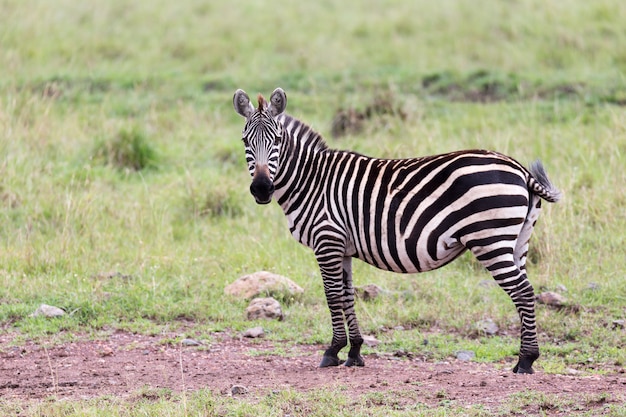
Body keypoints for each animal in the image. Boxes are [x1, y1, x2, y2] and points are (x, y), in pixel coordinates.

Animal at [232, 88, 560, 374]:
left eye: (277, 140)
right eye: (245, 141)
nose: (261, 189)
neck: (311, 180)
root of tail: (519, 168)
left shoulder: (327, 240)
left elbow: (332, 296)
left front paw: (333, 351)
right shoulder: (343, 247)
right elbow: (348, 295)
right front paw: (354, 352)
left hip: (490, 239)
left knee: (522, 292)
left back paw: (526, 361)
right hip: (517, 241)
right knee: (526, 291)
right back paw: (526, 358)